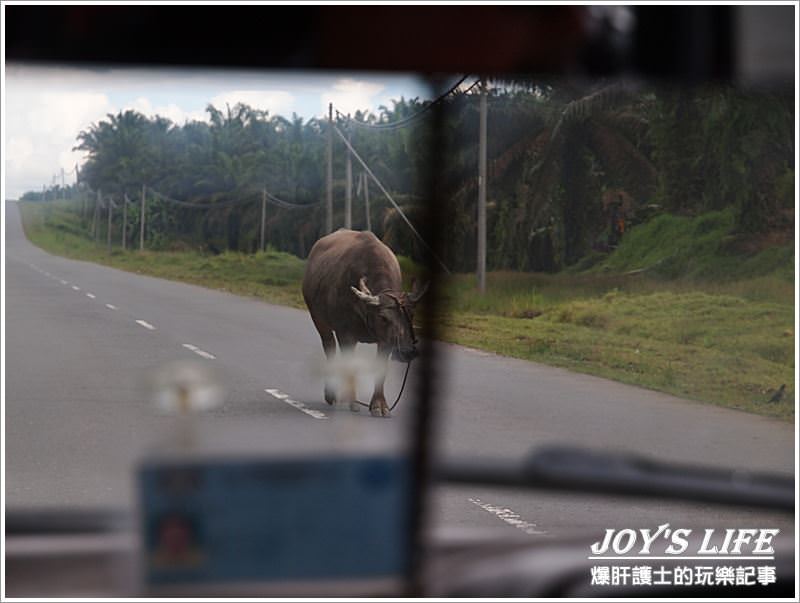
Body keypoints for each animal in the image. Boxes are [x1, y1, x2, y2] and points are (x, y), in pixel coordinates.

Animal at [302, 229, 424, 418]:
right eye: (383, 317)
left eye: (410, 315)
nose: (407, 351)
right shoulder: (346, 335)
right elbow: (350, 365)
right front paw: (353, 402)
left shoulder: (386, 341)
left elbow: (381, 370)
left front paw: (379, 406)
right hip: (319, 320)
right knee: (329, 347)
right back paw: (331, 394)